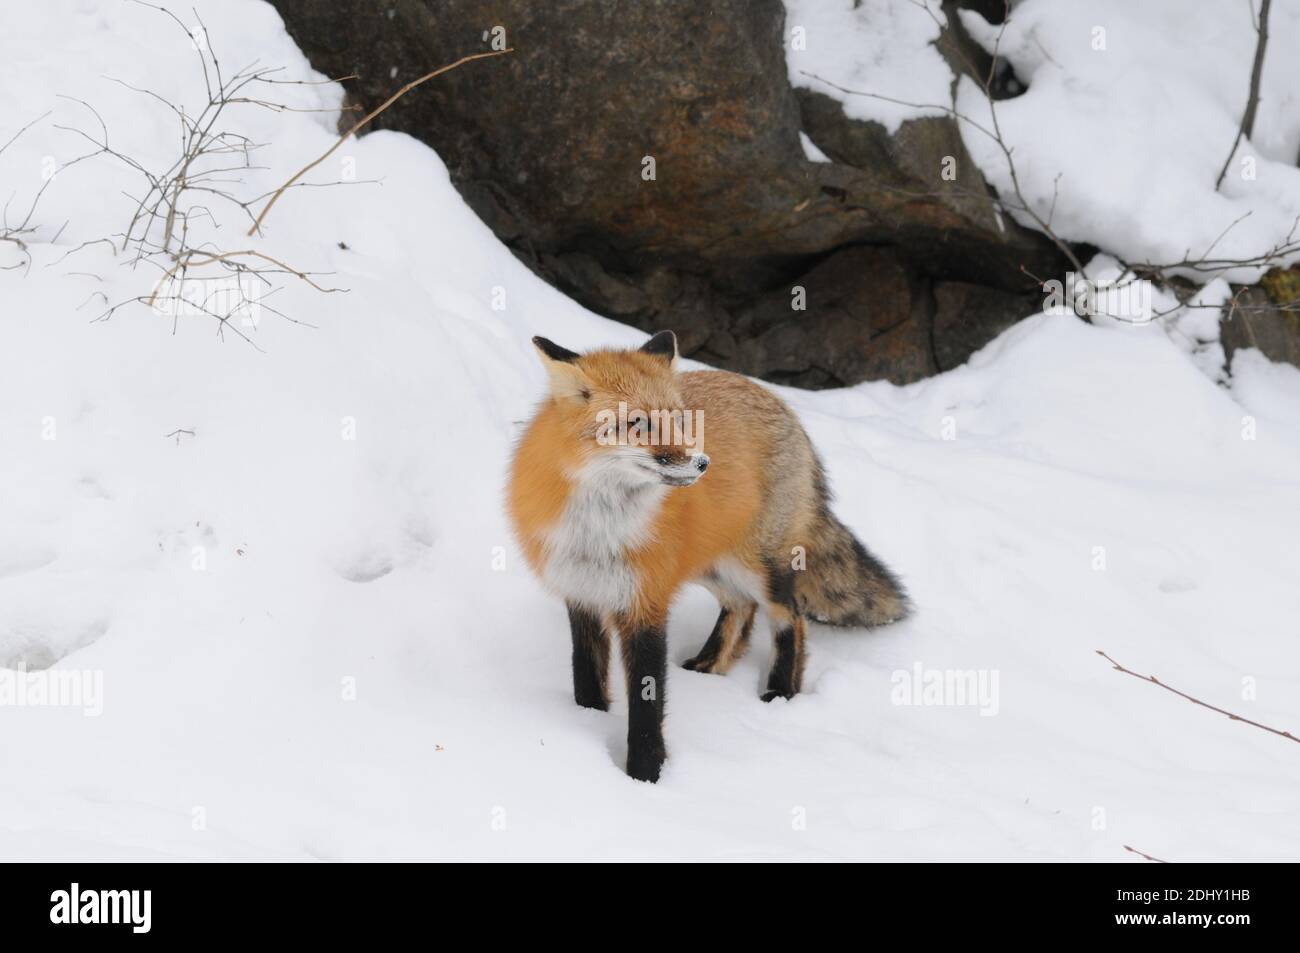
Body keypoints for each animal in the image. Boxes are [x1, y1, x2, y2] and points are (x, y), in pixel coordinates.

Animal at [504, 328, 904, 780]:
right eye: (638, 423)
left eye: (680, 420)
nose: (702, 463)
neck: (599, 530)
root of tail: (777, 400)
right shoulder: (582, 593)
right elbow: (585, 675)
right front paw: (588, 722)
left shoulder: (647, 602)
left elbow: (646, 703)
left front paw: (645, 775)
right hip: (708, 563)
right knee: (742, 607)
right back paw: (710, 665)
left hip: (757, 567)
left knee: (791, 616)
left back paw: (781, 692)